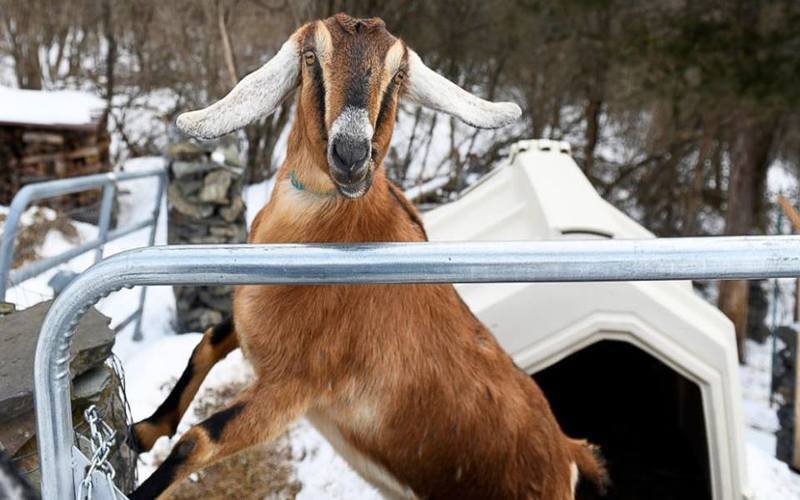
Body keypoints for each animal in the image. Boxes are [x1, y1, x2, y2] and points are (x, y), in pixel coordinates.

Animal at [129, 13, 608, 500]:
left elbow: (198, 442)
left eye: (397, 75)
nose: (352, 155)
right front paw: (142, 431)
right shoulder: (250, 329)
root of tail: (568, 454)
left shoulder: (294, 386)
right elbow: (207, 343)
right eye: (310, 57)